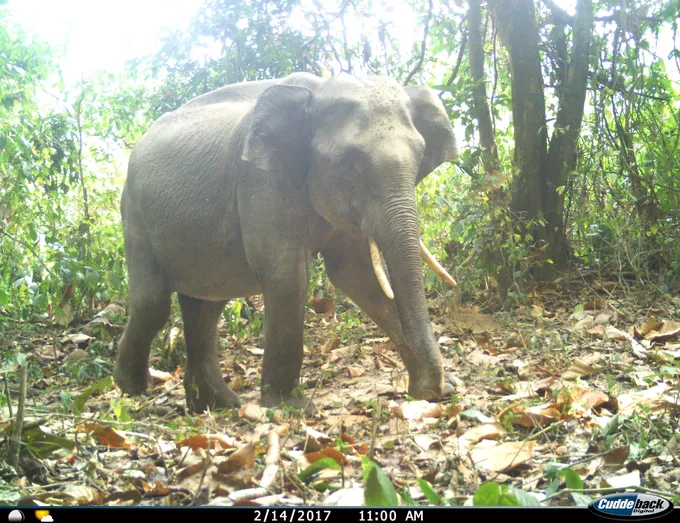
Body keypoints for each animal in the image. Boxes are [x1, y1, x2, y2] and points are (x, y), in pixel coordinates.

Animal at [113, 72, 459, 413]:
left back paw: (216, 405)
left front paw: (441, 388)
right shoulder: (261, 182)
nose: (431, 392)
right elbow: (287, 274)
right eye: (350, 165)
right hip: (134, 215)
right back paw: (134, 389)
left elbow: (356, 276)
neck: (319, 88)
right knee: (153, 304)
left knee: (205, 308)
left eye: (420, 157)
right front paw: (290, 407)